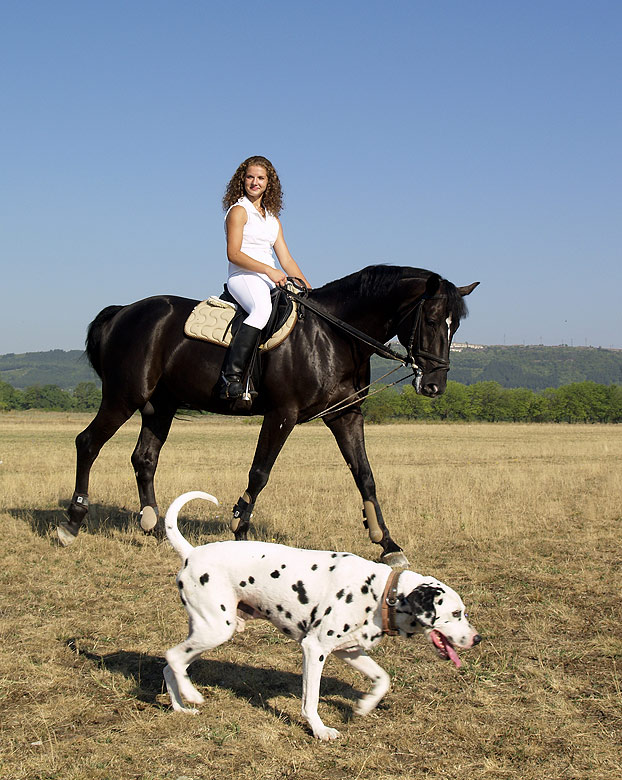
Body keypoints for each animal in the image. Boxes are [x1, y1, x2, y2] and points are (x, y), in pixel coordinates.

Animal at [59, 266, 478, 564]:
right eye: (430, 320)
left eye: (455, 325)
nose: (434, 386)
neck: (334, 335)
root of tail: (123, 312)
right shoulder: (282, 414)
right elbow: (259, 473)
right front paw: (239, 529)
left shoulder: (346, 415)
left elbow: (365, 476)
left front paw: (387, 543)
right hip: (124, 397)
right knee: (88, 443)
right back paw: (72, 523)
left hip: (160, 406)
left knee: (144, 458)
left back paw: (157, 526)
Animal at [162, 490, 482, 740]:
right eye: (456, 613)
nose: (477, 639)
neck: (380, 591)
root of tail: (191, 553)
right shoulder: (314, 649)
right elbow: (311, 700)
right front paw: (319, 729)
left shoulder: (349, 650)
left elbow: (383, 678)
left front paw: (365, 705)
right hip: (216, 629)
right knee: (172, 657)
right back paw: (192, 695)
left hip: (207, 633)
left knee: (170, 666)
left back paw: (181, 707)